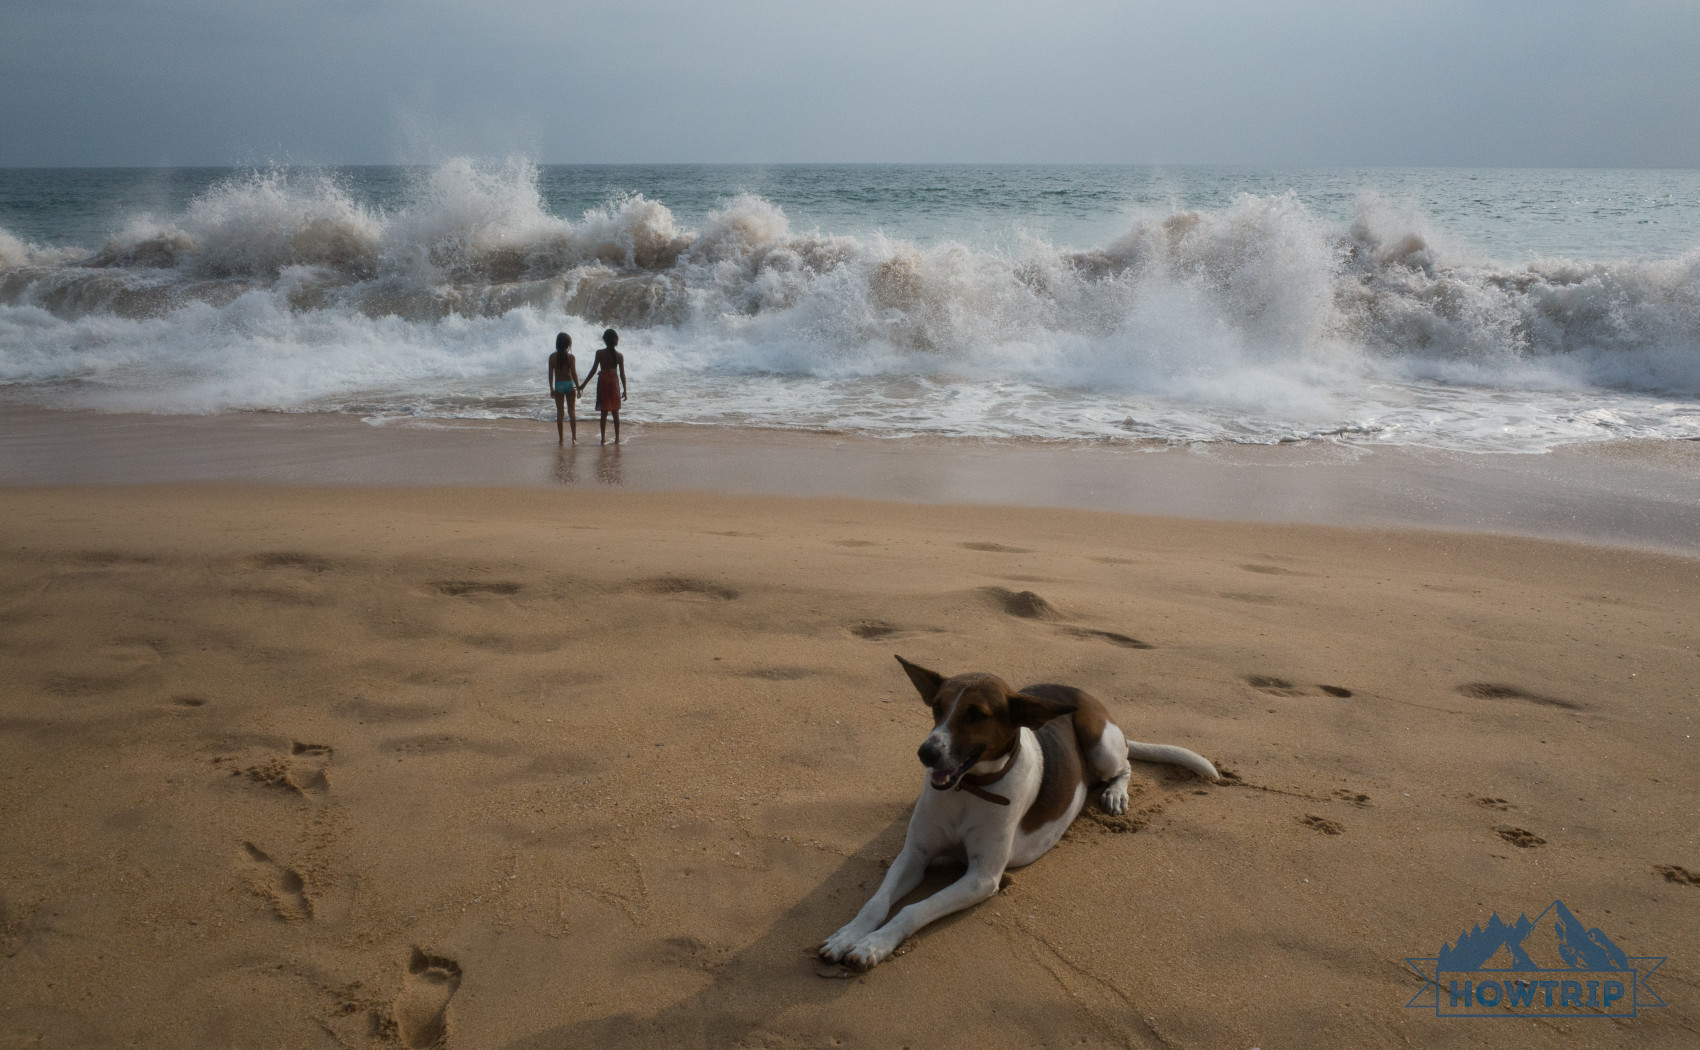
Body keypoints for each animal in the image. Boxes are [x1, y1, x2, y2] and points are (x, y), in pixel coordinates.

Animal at [816, 649, 1217, 971]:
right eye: (937, 708)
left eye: (976, 715)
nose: (926, 753)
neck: (969, 791)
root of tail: (1080, 693)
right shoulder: (914, 854)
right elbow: (876, 902)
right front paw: (848, 935)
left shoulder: (981, 877)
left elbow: (912, 909)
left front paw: (873, 944)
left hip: (1100, 744)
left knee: (1126, 765)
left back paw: (1116, 794)